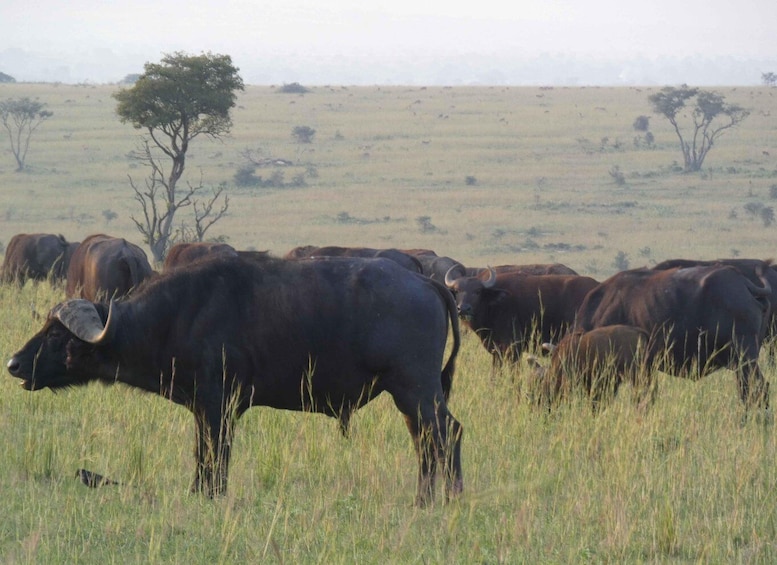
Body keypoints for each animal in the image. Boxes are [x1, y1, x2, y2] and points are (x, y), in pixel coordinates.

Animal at [7, 253, 463, 506]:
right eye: (45, 327)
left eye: (55, 335)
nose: (13, 364)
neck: (175, 316)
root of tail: (427, 283)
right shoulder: (203, 409)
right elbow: (203, 455)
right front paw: (200, 492)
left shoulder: (219, 405)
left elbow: (216, 455)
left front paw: (211, 494)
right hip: (410, 397)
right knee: (426, 441)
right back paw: (425, 500)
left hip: (416, 389)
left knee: (447, 434)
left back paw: (448, 498)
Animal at [444, 267, 599, 367]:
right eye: (457, 291)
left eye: (477, 291)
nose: (463, 308)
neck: (494, 304)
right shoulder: (496, 351)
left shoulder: (514, 349)